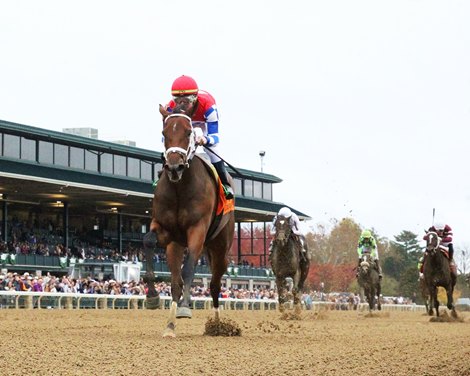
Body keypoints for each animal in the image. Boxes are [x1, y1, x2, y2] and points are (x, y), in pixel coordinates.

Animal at [141, 103, 233, 338]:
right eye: (164, 133)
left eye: (189, 132)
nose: (175, 168)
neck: (179, 188)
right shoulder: (164, 229)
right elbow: (148, 241)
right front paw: (152, 296)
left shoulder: (197, 229)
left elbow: (189, 269)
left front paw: (184, 307)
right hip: (177, 245)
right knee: (175, 281)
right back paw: (170, 325)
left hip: (220, 248)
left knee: (215, 285)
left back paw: (218, 326)